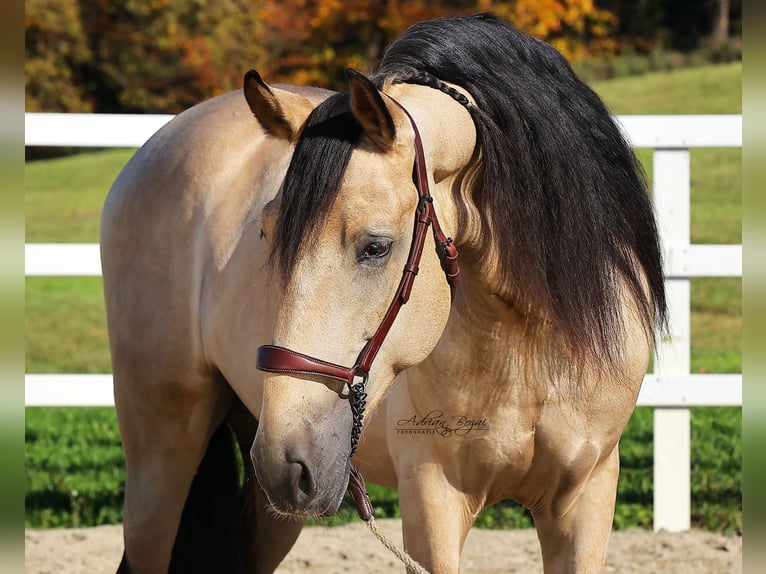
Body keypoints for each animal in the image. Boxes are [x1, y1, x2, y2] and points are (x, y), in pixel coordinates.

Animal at [100, 13, 664, 574]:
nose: (284, 459)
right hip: (163, 458)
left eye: (376, 247)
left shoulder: (586, 498)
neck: (529, 345)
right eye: (266, 232)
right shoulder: (433, 499)